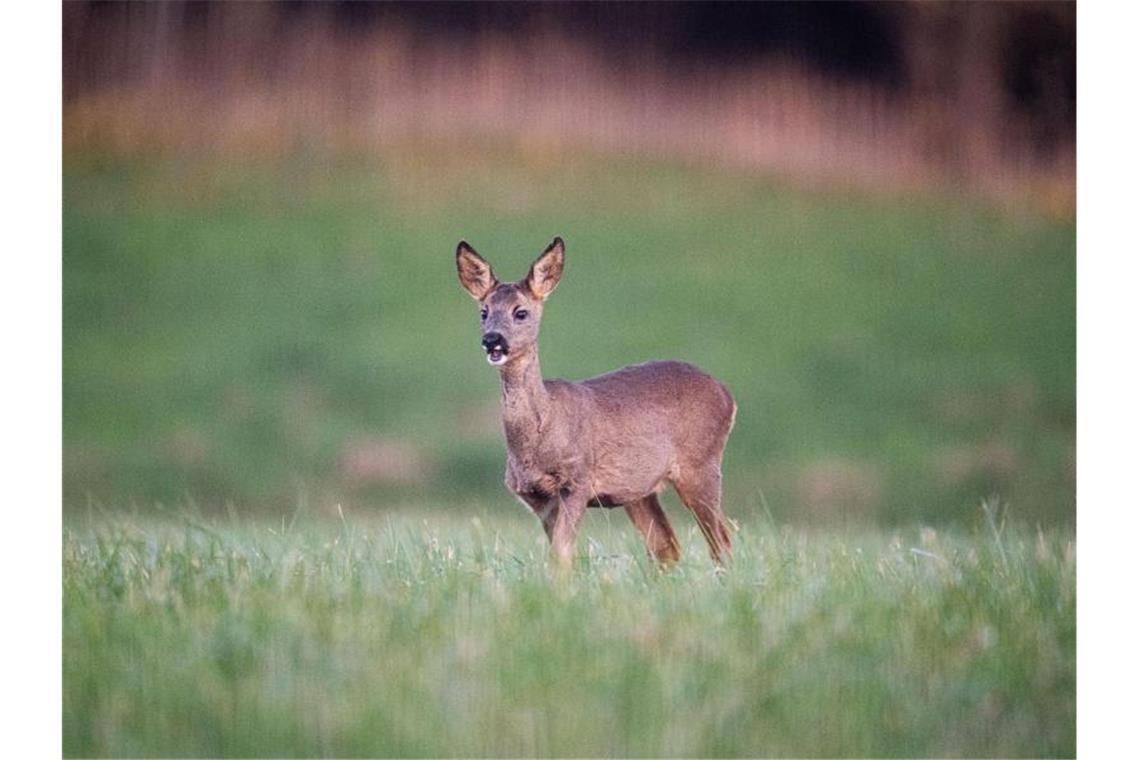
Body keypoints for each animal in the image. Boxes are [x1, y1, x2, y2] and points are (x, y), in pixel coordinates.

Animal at [456, 235, 738, 565]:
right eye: (484, 312)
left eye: (520, 312)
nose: (492, 340)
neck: (543, 429)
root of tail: (726, 393)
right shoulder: (537, 497)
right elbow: (559, 554)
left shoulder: (577, 480)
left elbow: (562, 553)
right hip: (640, 490)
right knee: (668, 547)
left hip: (700, 464)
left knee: (721, 541)